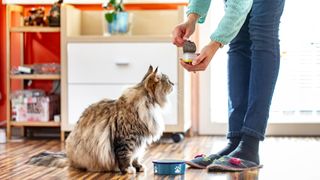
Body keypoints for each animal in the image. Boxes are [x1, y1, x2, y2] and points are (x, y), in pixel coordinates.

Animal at [26, 65, 174, 174]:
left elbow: (136, 156)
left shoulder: (140, 141)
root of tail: (69, 157)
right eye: (168, 80)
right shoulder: (126, 139)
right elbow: (126, 157)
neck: (149, 105)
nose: (173, 83)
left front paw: (138, 166)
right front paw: (128, 169)